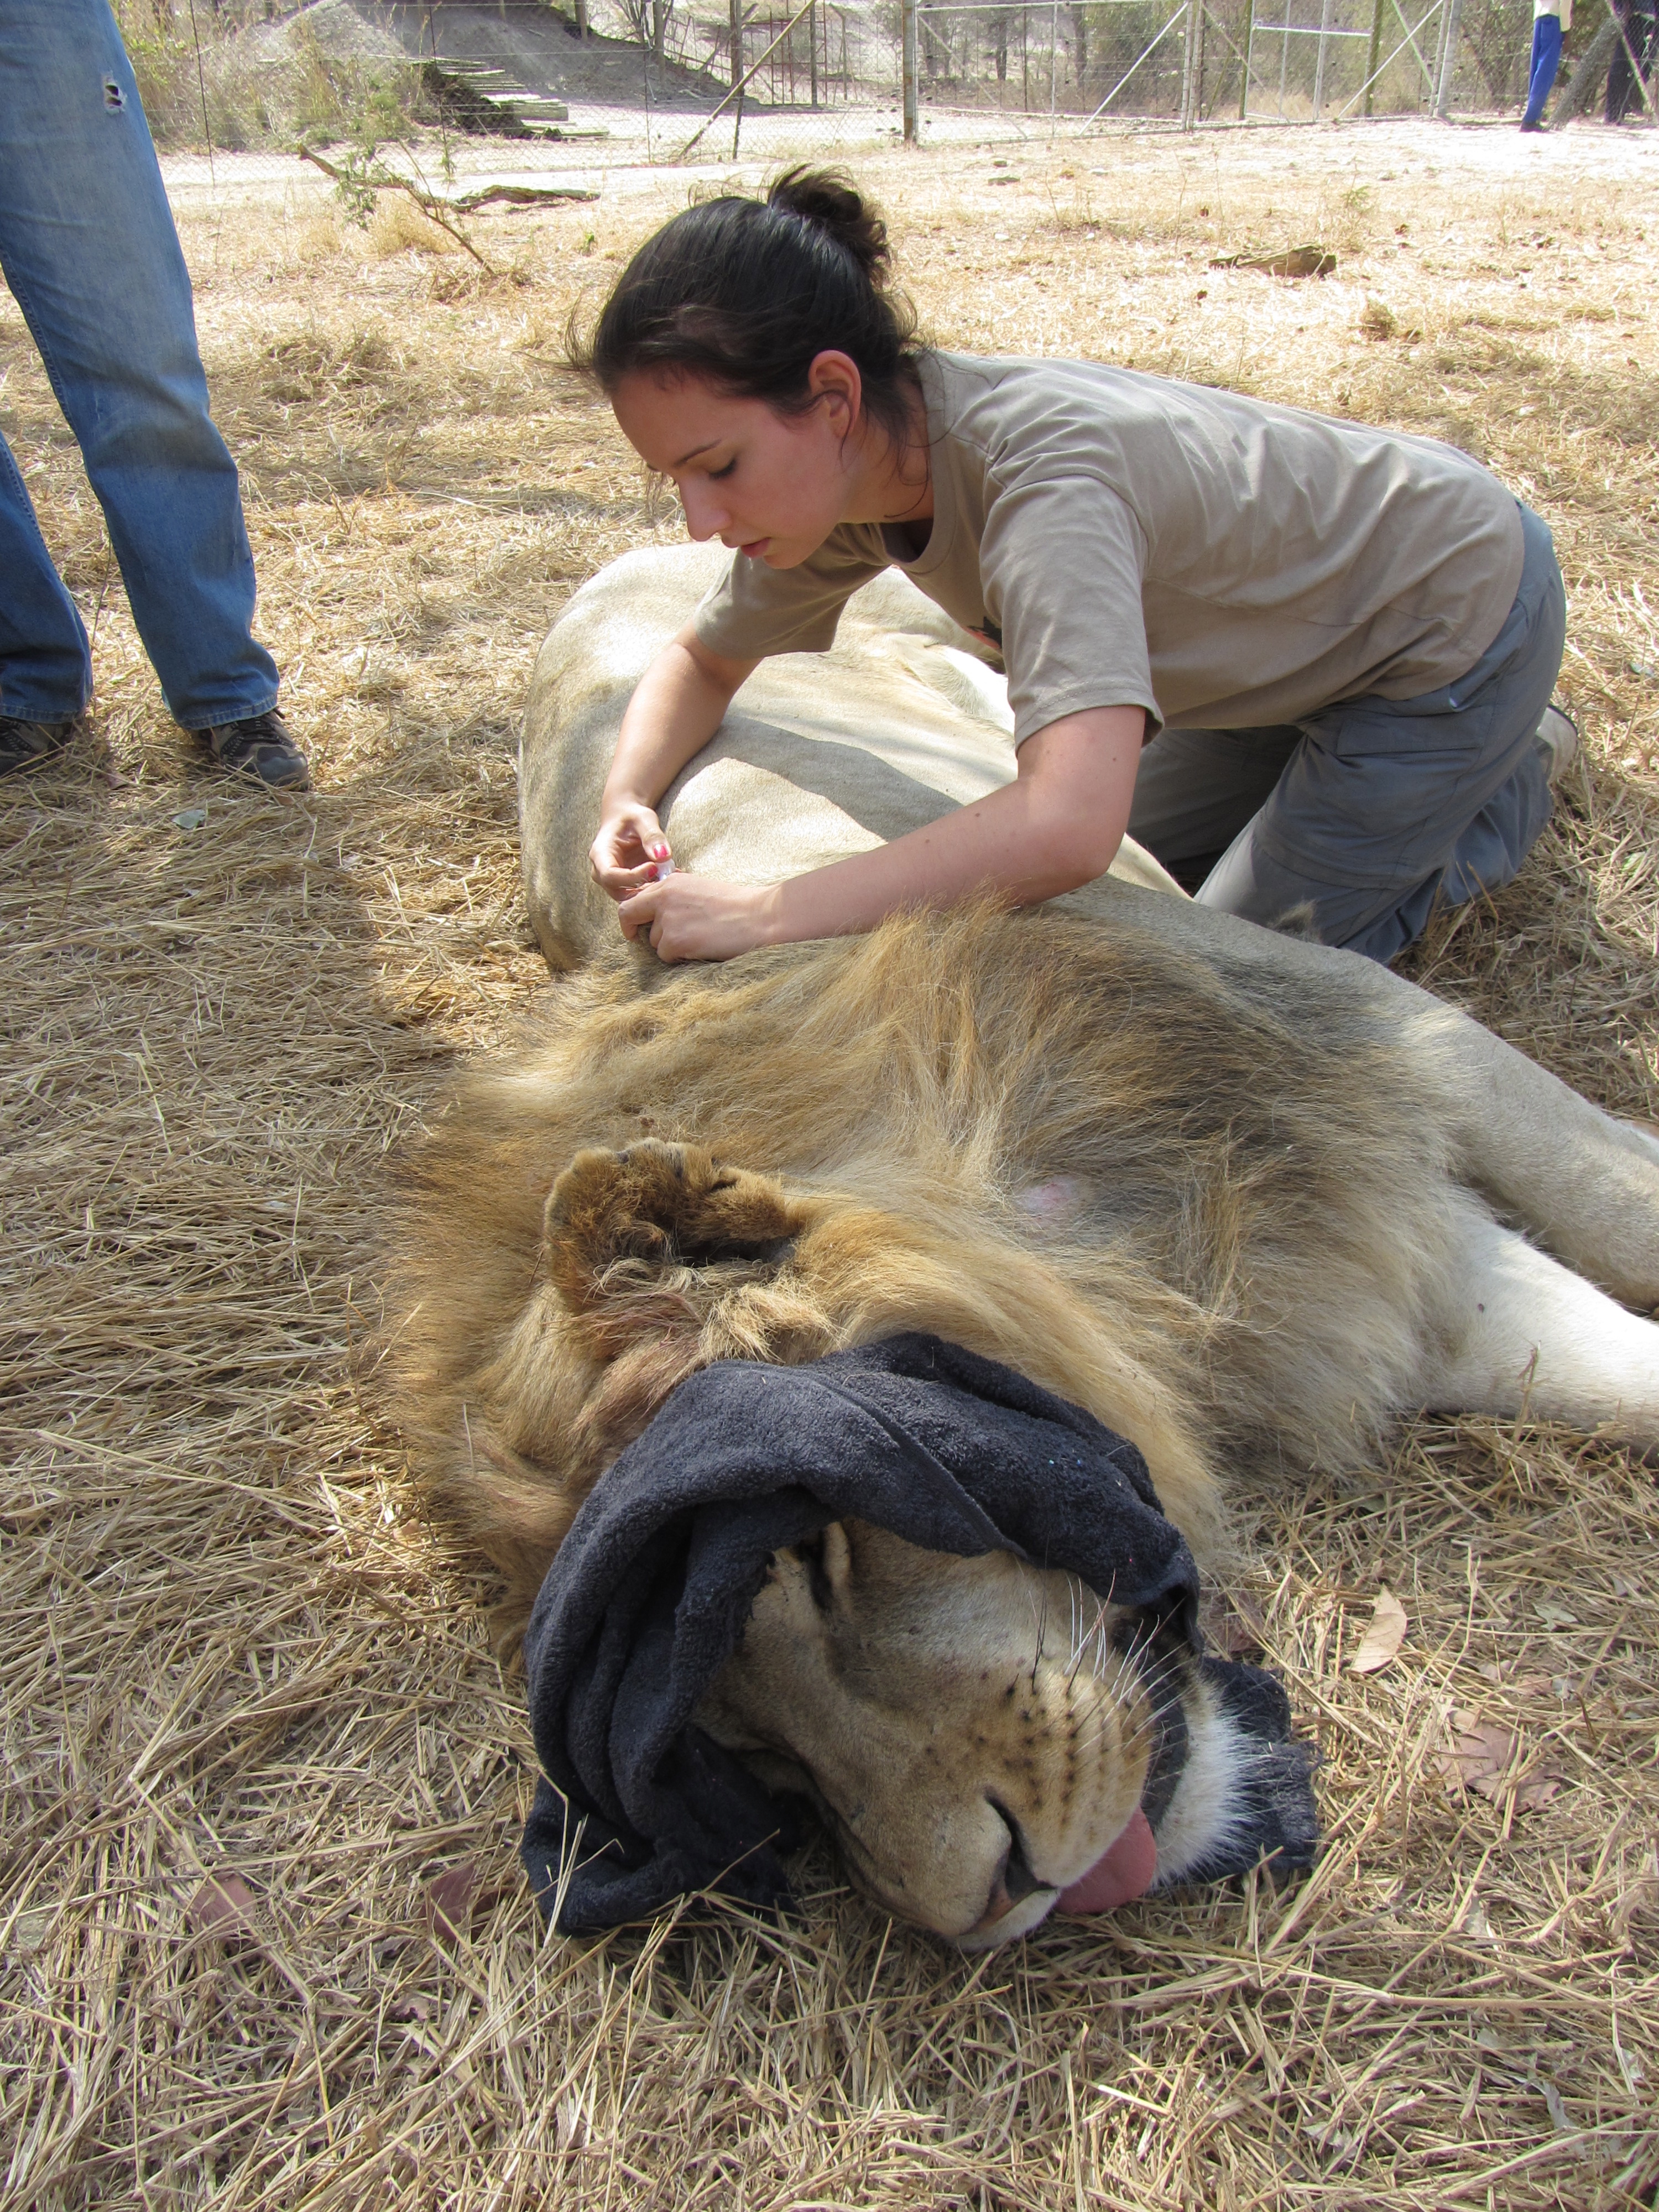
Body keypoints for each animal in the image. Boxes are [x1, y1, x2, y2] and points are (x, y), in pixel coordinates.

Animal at [387, 545, 1659, 1948]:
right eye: (759, 1761)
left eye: (810, 1557)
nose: (991, 1897)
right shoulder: (1340, 1258)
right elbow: (1615, 1366)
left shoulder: (1349, 1043)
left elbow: (1618, 1198)